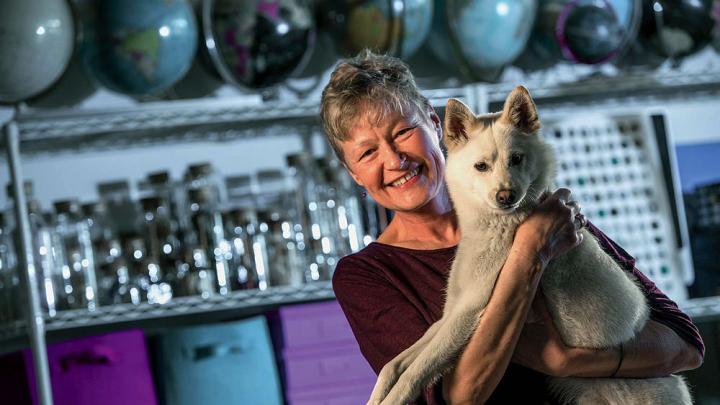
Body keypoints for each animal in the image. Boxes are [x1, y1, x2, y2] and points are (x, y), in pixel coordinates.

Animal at [368, 86, 688, 404]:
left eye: (516, 159)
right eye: (481, 166)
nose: (506, 196)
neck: (495, 228)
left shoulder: (469, 311)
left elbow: (416, 370)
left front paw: (394, 397)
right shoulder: (452, 311)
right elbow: (396, 363)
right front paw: (379, 393)